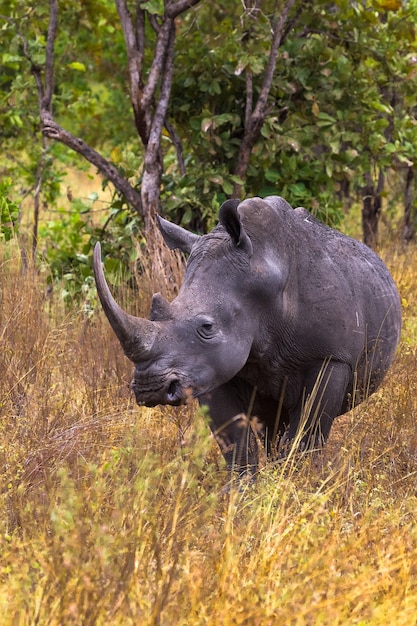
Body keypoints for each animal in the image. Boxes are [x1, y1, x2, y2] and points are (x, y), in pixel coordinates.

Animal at [93, 197, 400, 476]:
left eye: (207, 327)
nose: (150, 388)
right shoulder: (209, 368)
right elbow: (236, 444)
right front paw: (244, 492)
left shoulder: (331, 357)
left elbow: (305, 436)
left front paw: (292, 484)